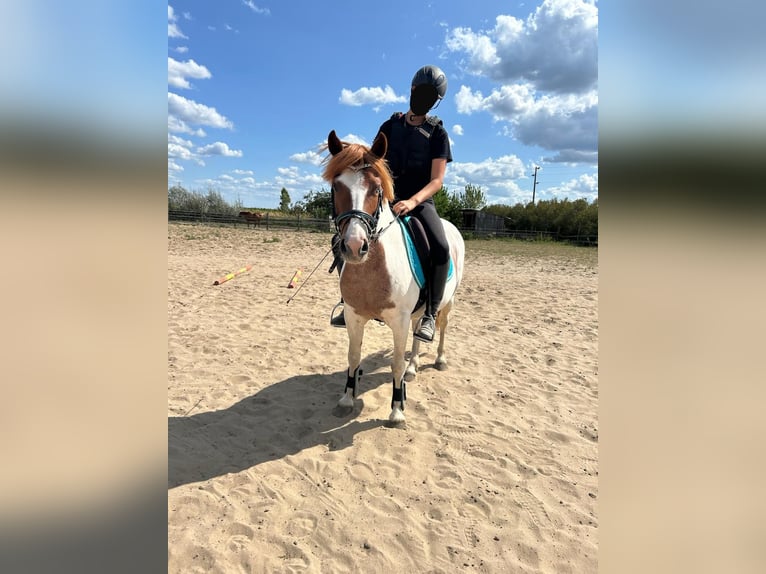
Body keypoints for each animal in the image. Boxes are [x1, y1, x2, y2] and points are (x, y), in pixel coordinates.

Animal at [323, 130, 465, 424]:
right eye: (336, 187)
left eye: (376, 189)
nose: (355, 246)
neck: (373, 271)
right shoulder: (354, 316)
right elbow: (353, 357)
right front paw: (346, 399)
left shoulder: (398, 321)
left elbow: (396, 363)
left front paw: (397, 410)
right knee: (418, 333)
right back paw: (414, 367)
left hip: (448, 302)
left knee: (442, 326)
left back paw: (440, 360)